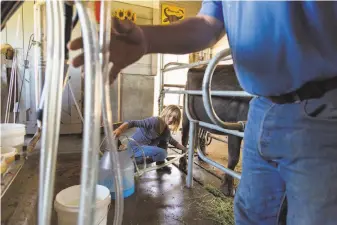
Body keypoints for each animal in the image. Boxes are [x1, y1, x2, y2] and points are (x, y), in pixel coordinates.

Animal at [180, 63, 251, 197]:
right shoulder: (235, 127)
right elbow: (234, 158)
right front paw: (227, 188)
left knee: (200, 136)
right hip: (186, 115)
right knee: (185, 137)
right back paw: (183, 164)